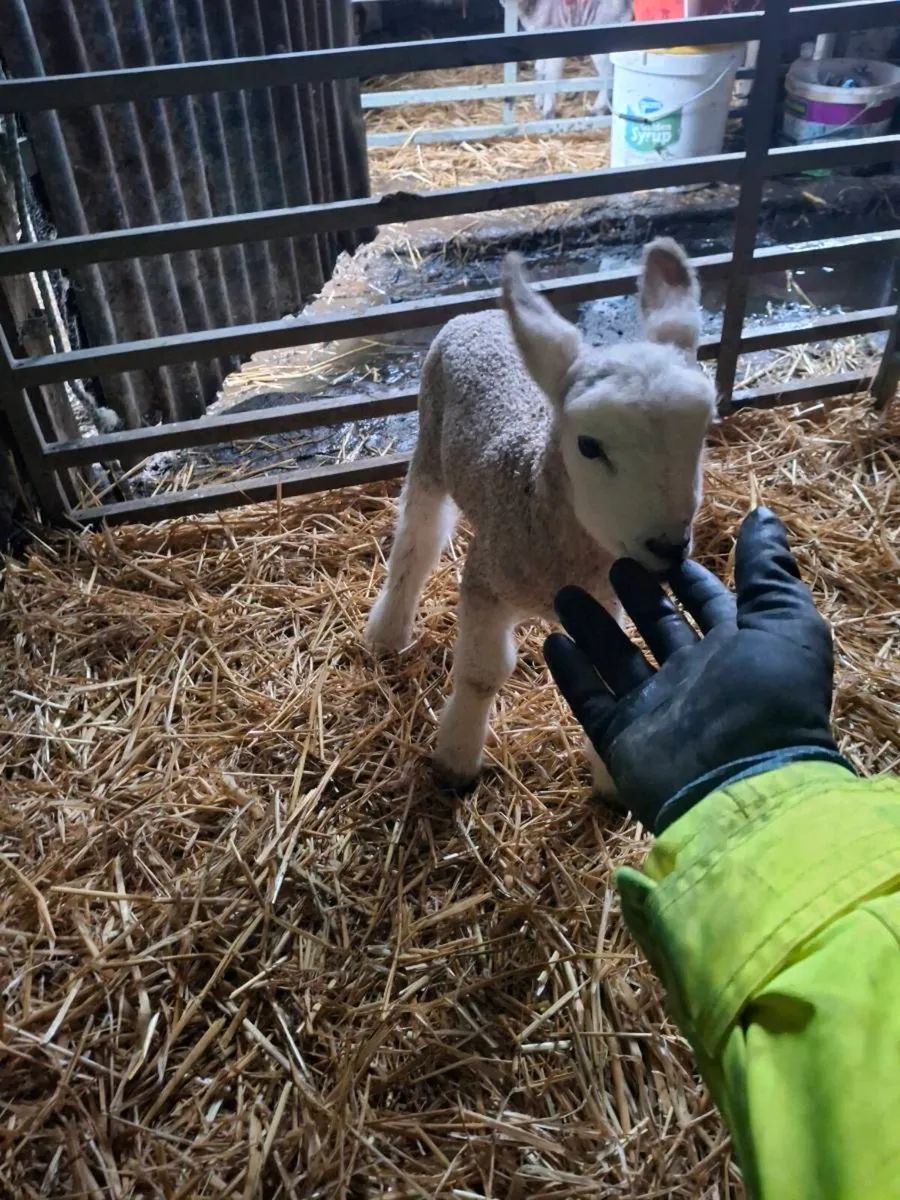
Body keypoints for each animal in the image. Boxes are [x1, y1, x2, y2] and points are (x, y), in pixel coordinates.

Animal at [365, 238, 716, 794]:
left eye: (703, 434)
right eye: (589, 446)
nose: (669, 546)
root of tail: (480, 315)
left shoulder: (602, 597)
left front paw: (612, 778)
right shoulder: (486, 580)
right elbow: (481, 673)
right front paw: (457, 759)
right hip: (429, 439)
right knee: (418, 537)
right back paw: (388, 631)